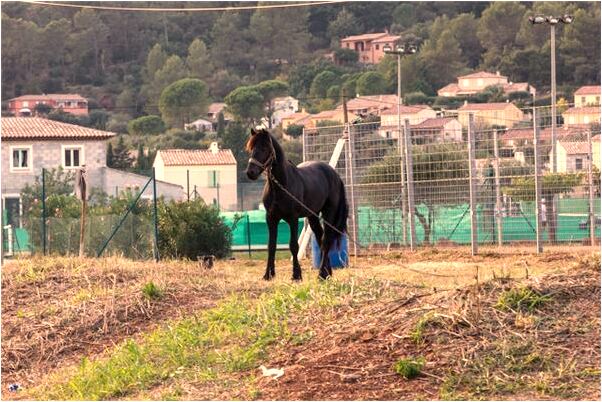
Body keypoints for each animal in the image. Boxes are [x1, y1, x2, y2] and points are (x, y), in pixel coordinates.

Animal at [244, 128, 346, 280]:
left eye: (264, 148)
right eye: (251, 148)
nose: (250, 172)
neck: (281, 185)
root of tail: (335, 174)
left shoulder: (292, 218)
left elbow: (293, 246)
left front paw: (296, 274)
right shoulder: (271, 218)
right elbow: (271, 246)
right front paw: (268, 274)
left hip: (329, 213)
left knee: (326, 240)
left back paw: (322, 274)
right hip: (313, 216)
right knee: (320, 238)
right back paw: (327, 272)